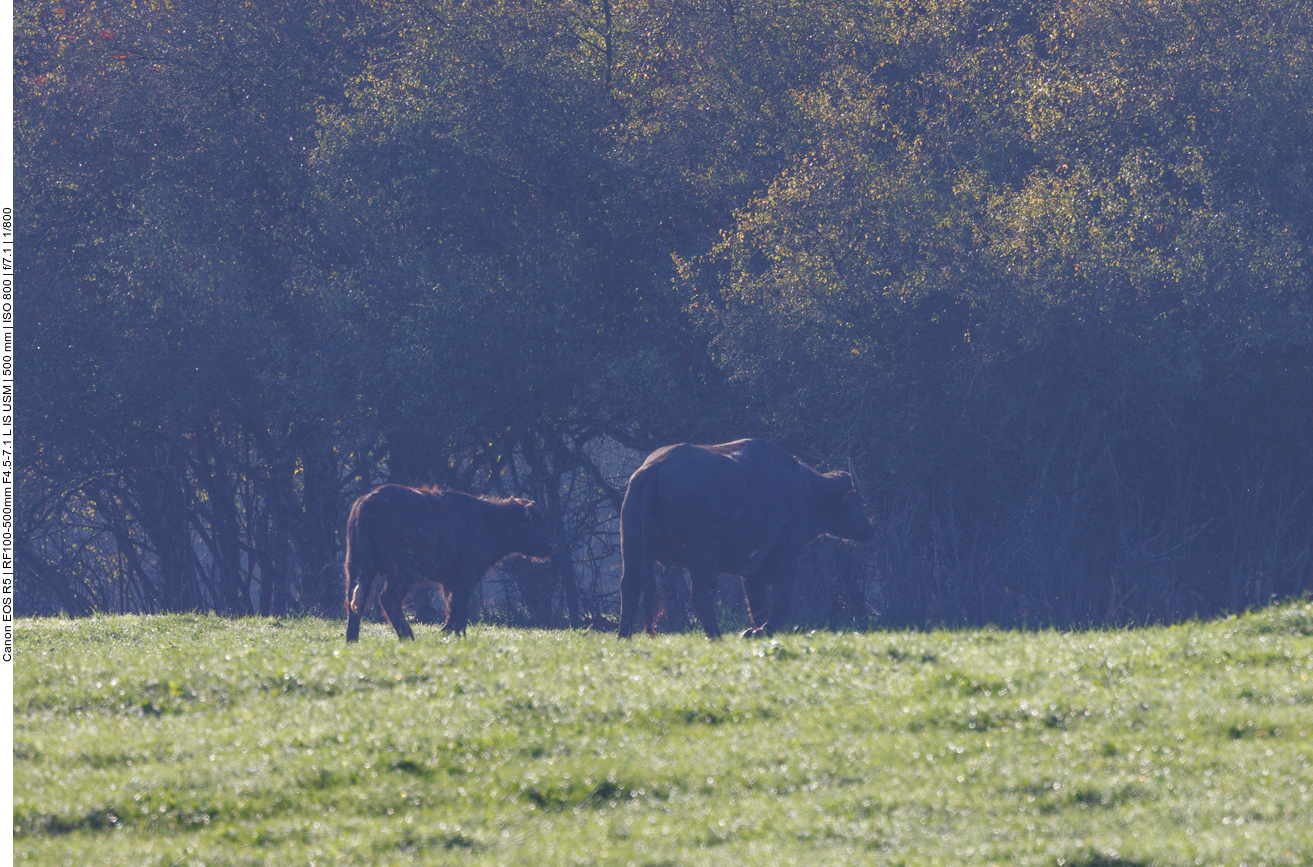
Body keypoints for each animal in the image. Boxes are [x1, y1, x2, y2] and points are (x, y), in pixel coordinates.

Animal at [341, 483, 551, 641]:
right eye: (536, 522)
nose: (549, 546)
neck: (490, 520)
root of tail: (368, 501)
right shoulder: (465, 578)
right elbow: (458, 609)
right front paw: (449, 634)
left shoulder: (450, 582)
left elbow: (453, 608)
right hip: (401, 573)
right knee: (387, 598)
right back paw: (408, 636)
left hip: (355, 565)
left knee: (355, 600)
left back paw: (353, 639)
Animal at [614, 441, 871, 635]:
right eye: (857, 502)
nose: (868, 529)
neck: (805, 490)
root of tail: (656, 467)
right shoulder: (787, 558)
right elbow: (781, 603)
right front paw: (763, 631)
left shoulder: (751, 570)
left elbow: (758, 606)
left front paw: (756, 631)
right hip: (705, 560)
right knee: (702, 598)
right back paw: (717, 637)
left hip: (632, 546)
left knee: (630, 586)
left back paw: (623, 637)